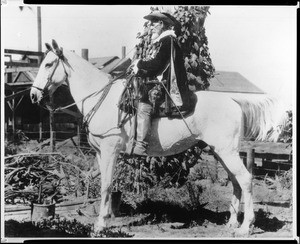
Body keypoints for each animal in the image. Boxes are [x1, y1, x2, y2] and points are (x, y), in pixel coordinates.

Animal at [29, 40, 286, 236]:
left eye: (49, 64)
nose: (33, 95)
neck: (102, 98)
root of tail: (234, 100)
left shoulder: (110, 151)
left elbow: (106, 186)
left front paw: (100, 225)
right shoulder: (101, 152)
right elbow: (103, 184)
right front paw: (104, 218)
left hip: (227, 152)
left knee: (245, 179)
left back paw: (245, 226)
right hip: (220, 152)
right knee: (235, 181)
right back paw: (232, 223)